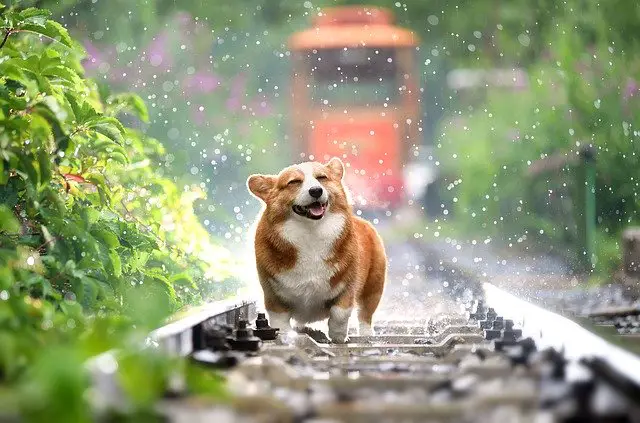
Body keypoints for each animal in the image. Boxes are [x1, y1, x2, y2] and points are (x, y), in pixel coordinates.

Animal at [245, 157, 384, 342]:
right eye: (294, 182)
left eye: (322, 178)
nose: (316, 191)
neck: (311, 232)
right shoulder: (273, 294)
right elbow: (280, 321)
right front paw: (285, 336)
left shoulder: (347, 286)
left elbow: (339, 313)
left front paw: (338, 337)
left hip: (374, 285)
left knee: (365, 314)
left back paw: (366, 334)